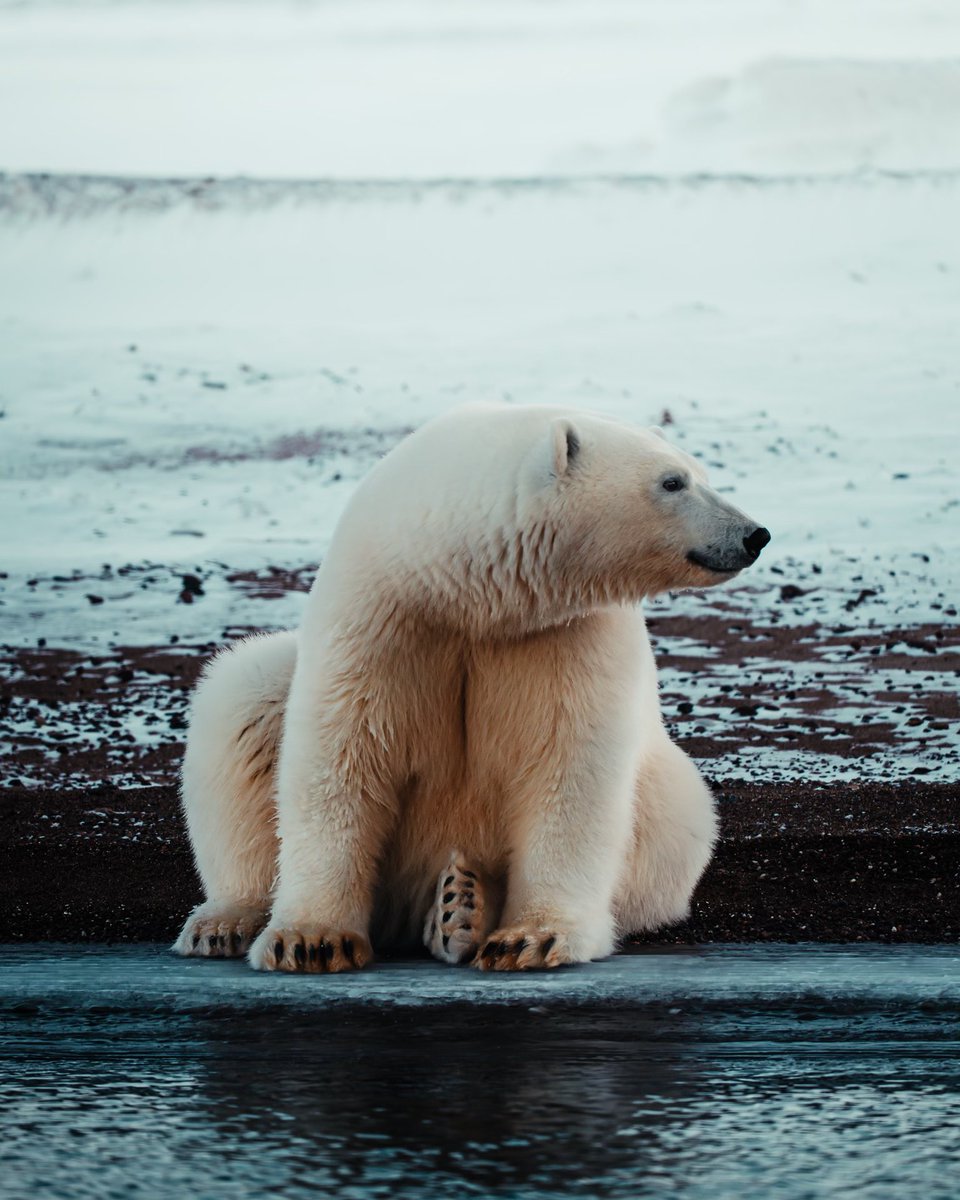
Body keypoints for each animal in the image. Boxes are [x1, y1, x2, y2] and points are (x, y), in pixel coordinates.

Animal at [172, 404, 769, 972]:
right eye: (673, 481)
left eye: (699, 472)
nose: (754, 534)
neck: (466, 591)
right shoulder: (381, 610)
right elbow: (341, 752)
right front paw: (310, 940)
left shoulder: (567, 631)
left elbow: (569, 766)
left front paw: (531, 938)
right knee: (243, 695)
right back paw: (227, 920)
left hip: (666, 813)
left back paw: (460, 906)